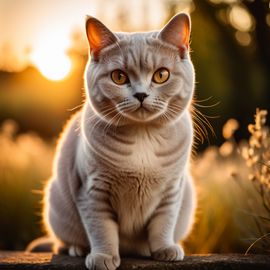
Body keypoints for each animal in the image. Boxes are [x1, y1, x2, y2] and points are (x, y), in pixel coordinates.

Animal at [42, 12, 196, 270]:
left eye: (161, 75)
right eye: (119, 76)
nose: (141, 94)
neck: (143, 136)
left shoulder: (172, 190)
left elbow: (163, 224)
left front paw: (165, 250)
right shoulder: (92, 191)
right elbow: (102, 229)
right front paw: (103, 257)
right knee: (62, 242)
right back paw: (77, 249)